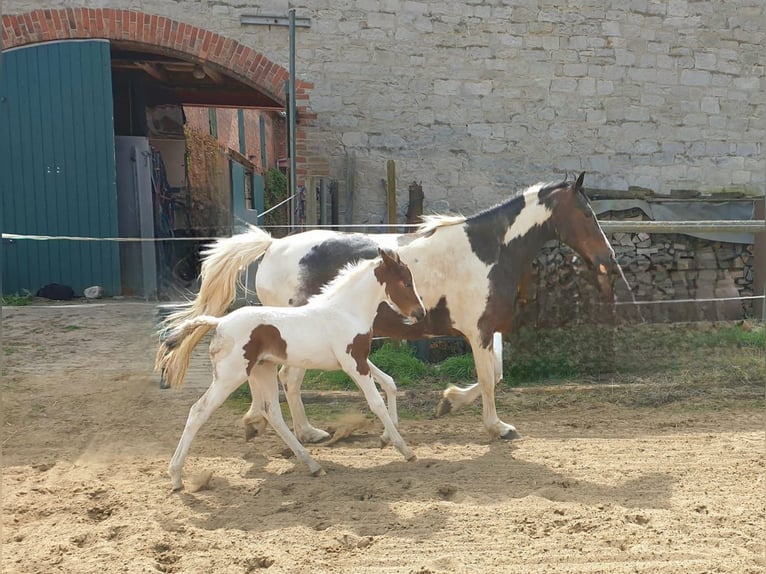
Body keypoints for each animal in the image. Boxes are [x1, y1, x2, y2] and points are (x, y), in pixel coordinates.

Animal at [158, 249, 426, 490]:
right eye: (406, 282)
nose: (420, 313)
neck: (345, 311)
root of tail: (220, 321)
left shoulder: (357, 359)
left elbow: (389, 383)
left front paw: (386, 438)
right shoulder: (354, 363)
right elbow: (376, 402)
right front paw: (405, 450)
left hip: (263, 369)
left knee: (272, 412)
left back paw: (313, 465)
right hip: (230, 376)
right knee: (199, 411)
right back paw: (176, 477)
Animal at [162, 173, 624, 444]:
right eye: (586, 213)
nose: (609, 261)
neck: (487, 250)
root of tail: (274, 245)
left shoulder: (487, 329)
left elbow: (495, 374)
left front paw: (448, 402)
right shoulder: (476, 331)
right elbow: (488, 379)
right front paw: (496, 427)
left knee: (283, 384)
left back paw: (281, 427)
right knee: (287, 382)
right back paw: (304, 432)